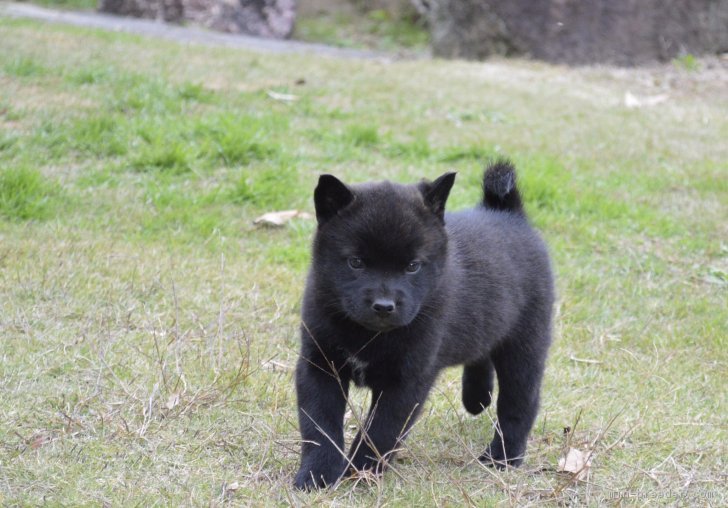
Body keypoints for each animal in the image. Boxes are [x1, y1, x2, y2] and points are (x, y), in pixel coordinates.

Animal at [292, 161, 556, 490]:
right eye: (355, 262)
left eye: (412, 266)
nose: (384, 306)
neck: (370, 335)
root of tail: (509, 213)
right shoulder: (319, 365)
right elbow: (320, 426)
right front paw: (317, 476)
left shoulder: (406, 381)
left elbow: (381, 430)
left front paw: (362, 472)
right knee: (481, 354)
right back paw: (477, 399)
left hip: (524, 346)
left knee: (519, 404)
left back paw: (503, 458)